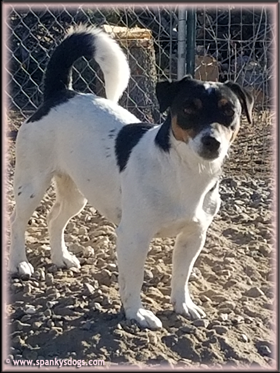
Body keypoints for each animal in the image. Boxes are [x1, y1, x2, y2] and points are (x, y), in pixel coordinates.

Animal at [8, 26, 254, 328]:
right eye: (188, 108)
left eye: (229, 111)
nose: (212, 142)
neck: (184, 173)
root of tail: (62, 93)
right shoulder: (134, 237)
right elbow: (133, 281)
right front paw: (137, 314)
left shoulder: (193, 236)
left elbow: (181, 276)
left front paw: (183, 305)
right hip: (33, 184)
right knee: (18, 222)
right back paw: (19, 263)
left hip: (77, 192)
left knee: (54, 219)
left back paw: (61, 257)